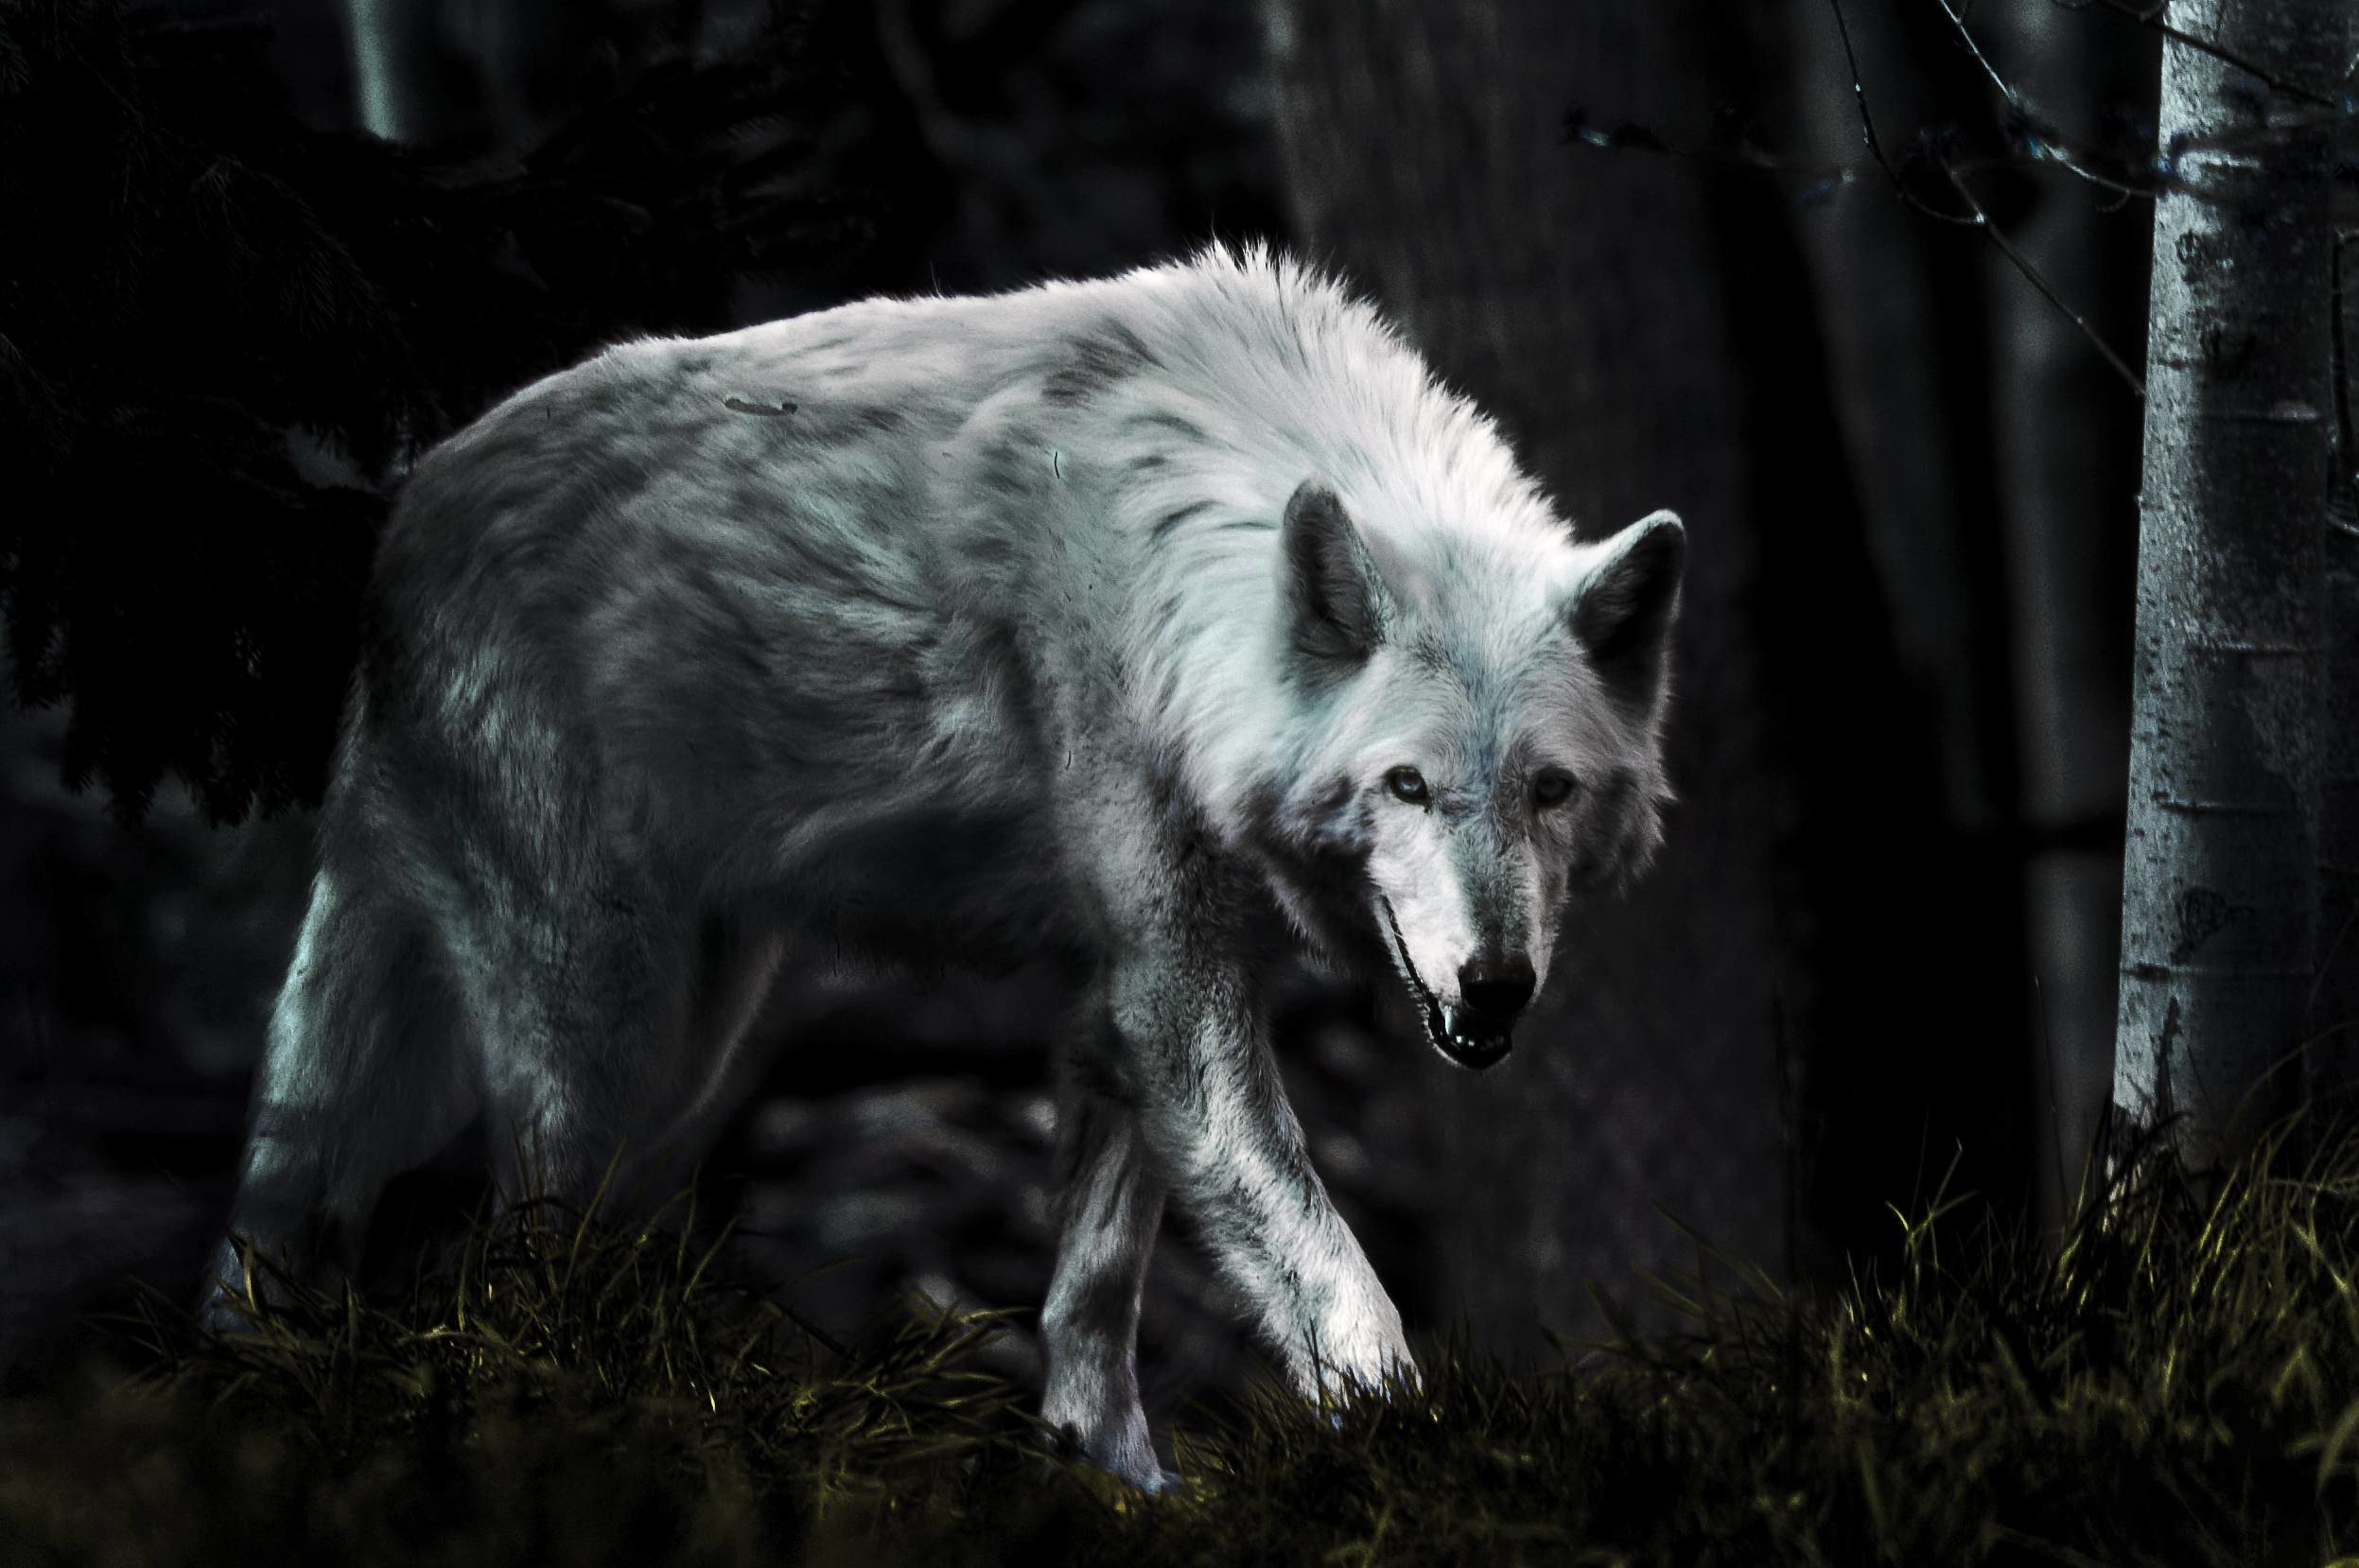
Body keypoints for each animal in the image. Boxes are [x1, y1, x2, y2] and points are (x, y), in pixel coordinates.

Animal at [200, 245, 1685, 1493]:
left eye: (1549, 790)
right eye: (1405, 786)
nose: (1494, 987)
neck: (1182, 559)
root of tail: (398, 530)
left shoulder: (1124, 1005)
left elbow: (1092, 1299)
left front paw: (1112, 1482)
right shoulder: (1175, 998)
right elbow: (1336, 1275)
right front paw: (1418, 1462)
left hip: (694, 1053)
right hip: (597, 1042)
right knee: (510, 1264)